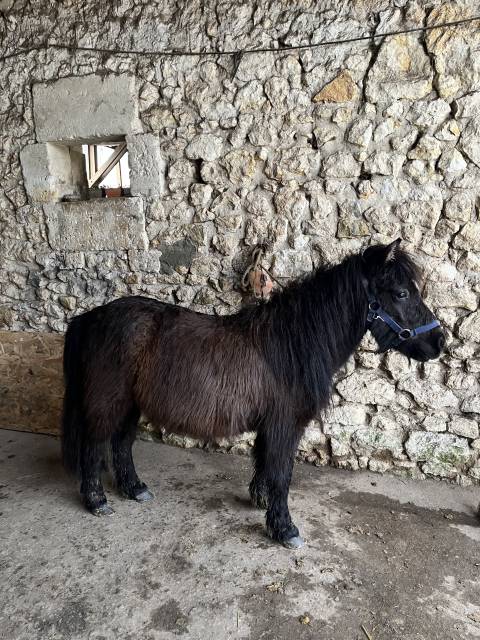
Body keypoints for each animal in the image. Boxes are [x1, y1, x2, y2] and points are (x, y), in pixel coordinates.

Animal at [62, 239, 445, 548]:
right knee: (94, 445)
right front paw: (284, 528)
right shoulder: (285, 424)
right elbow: (281, 473)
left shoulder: (270, 424)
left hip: (130, 404)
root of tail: (91, 317)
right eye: (401, 293)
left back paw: (135, 488)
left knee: (121, 443)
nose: (439, 342)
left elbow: (264, 464)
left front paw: (260, 500)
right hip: (108, 401)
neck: (293, 343)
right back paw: (97, 501)